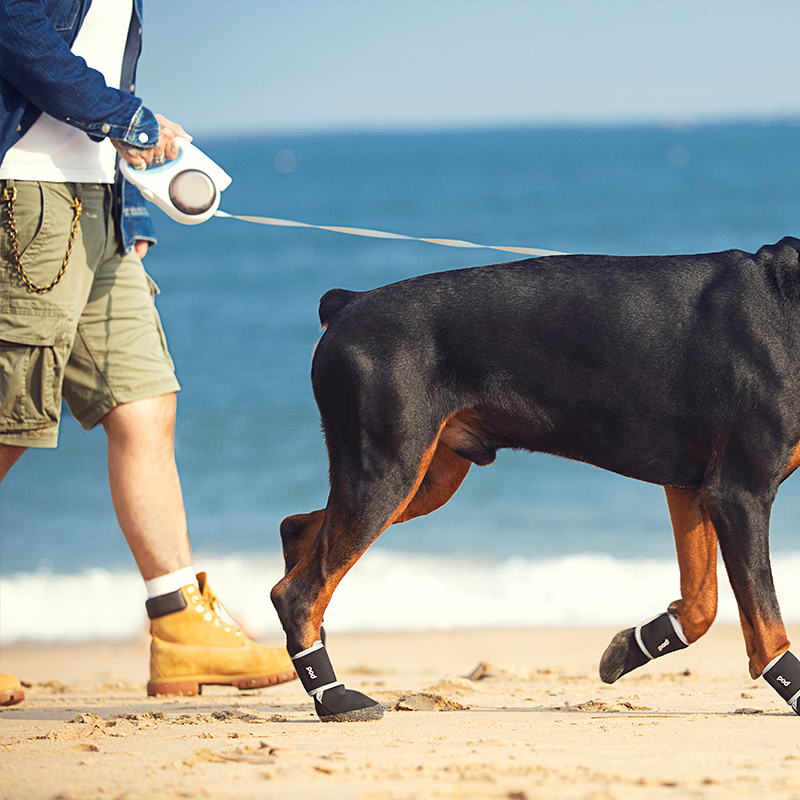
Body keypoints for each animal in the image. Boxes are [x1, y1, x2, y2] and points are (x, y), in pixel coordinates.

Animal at [270, 234, 800, 720]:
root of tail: (348, 302)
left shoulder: (692, 486)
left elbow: (701, 605)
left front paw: (632, 645)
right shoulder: (739, 492)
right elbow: (766, 621)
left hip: (425, 479)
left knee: (297, 533)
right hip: (389, 470)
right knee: (299, 590)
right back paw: (334, 697)